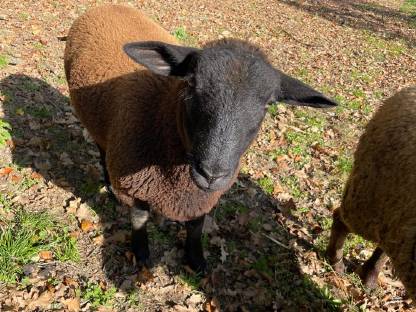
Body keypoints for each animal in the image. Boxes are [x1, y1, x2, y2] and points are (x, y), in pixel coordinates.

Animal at [66, 5, 338, 272]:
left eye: (268, 104)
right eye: (191, 84)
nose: (212, 174)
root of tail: (108, 5)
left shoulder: (202, 199)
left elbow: (196, 227)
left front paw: (196, 259)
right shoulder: (134, 188)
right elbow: (139, 220)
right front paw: (141, 252)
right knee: (101, 150)